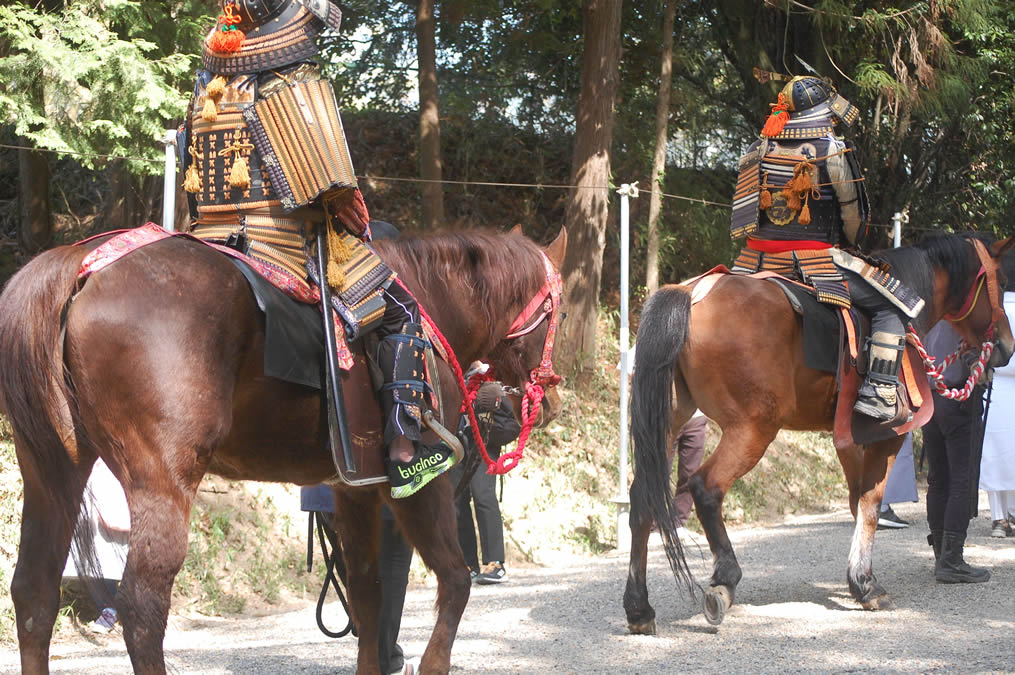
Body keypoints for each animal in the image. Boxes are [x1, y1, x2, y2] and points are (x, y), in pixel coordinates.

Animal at [0, 223, 568, 669]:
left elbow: (367, 594)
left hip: (53, 470)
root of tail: (81, 270)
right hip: (161, 479)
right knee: (141, 606)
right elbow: (454, 580)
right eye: (560, 312)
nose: (549, 400)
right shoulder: (419, 485)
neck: (429, 306)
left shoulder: (354, 489)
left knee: (33, 592)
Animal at [621, 233, 1010, 633]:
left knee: (643, 500)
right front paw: (866, 585)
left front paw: (857, 578)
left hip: (670, 422)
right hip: (753, 429)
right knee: (706, 487)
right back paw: (724, 580)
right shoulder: (888, 436)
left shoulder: (850, 439)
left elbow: (857, 502)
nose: (1005, 346)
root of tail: (693, 292)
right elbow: (871, 504)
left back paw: (639, 608)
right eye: (999, 279)